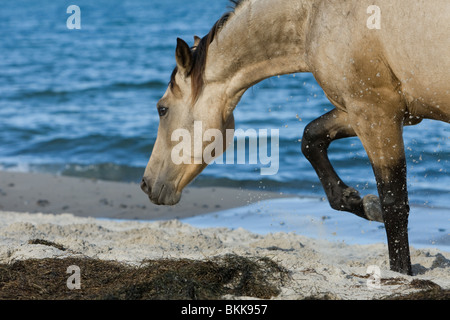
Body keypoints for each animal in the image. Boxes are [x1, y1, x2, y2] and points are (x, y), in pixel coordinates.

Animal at [139, 0, 448, 276]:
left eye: (162, 109)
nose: (145, 184)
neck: (313, 14)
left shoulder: (375, 113)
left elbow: (394, 204)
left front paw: (401, 272)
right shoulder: (373, 111)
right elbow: (311, 139)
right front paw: (358, 201)